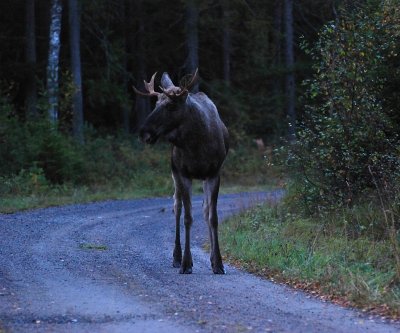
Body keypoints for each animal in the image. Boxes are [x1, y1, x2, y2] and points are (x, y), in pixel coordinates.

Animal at [134, 68, 228, 274]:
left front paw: (218, 262)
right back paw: (177, 257)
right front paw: (186, 262)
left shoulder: (214, 173)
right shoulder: (184, 173)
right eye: (155, 104)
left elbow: (213, 217)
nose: (144, 132)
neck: (197, 144)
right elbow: (187, 218)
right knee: (176, 207)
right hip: (174, 172)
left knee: (204, 210)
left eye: (171, 106)